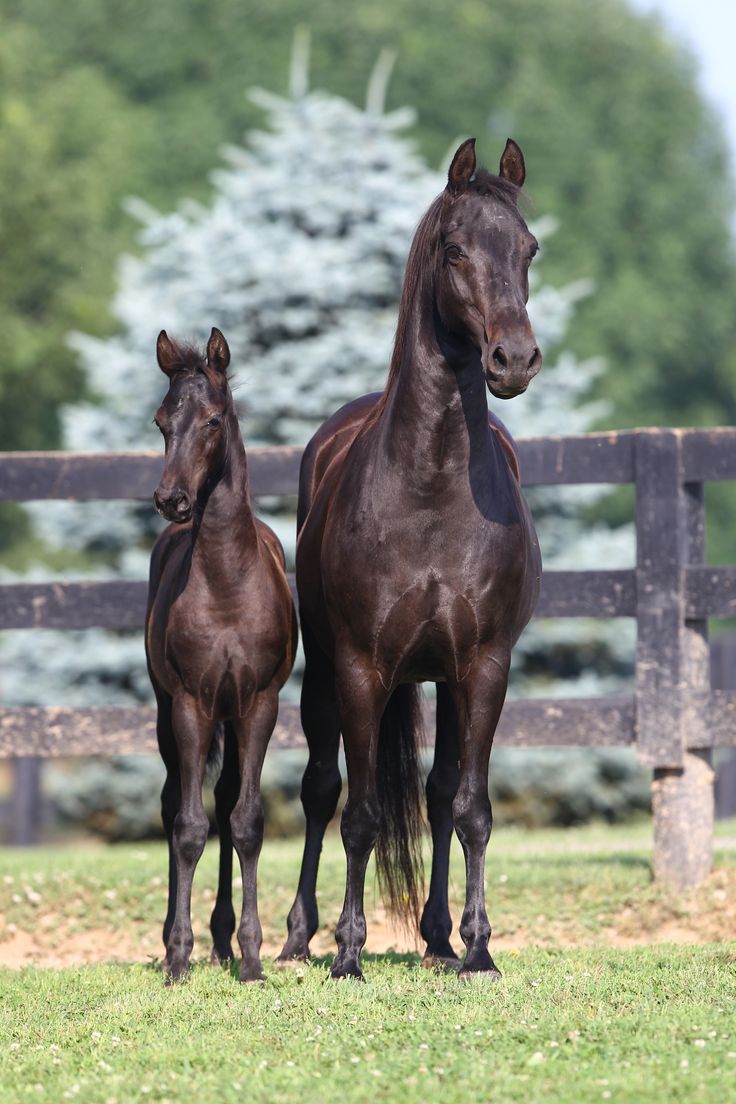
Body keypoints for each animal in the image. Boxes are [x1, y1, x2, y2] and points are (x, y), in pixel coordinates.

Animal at [279, 140, 545, 984]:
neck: (428, 488)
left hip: (441, 680)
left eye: (528, 249)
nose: (514, 359)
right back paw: (298, 936)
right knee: (322, 789)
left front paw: (479, 949)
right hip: (325, 678)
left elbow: (471, 809)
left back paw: (436, 936)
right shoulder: (361, 668)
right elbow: (360, 814)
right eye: (455, 250)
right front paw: (348, 953)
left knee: (435, 795)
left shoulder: (483, 668)